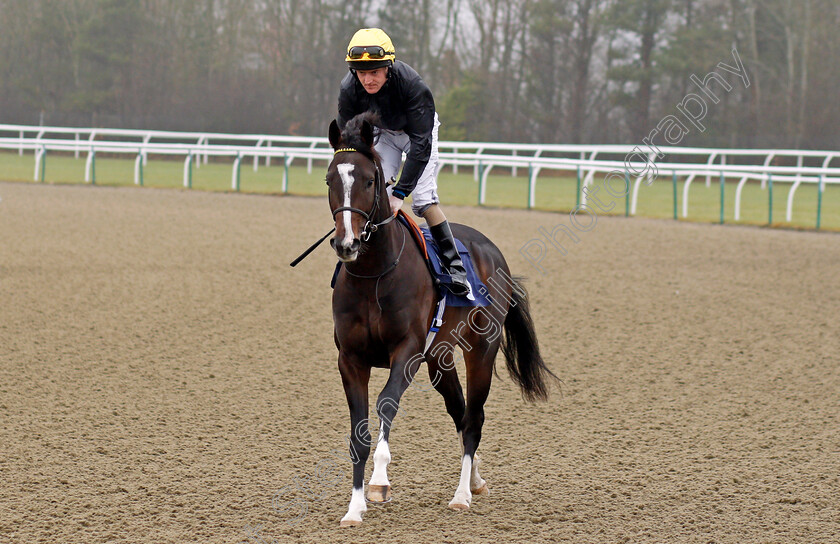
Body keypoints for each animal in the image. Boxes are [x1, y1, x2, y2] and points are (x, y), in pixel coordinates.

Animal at [324, 112, 556, 524]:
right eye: (330, 179)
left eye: (370, 180)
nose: (346, 243)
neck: (374, 274)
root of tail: (494, 254)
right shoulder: (350, 359)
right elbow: (358, 432)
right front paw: (354, 508)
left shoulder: (408, 351)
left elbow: (386, 403)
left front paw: (380, 481)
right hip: (440, 359)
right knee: (460, 413)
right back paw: (476, 481)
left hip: (480, 351)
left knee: (473, 420)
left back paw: (462, 494)